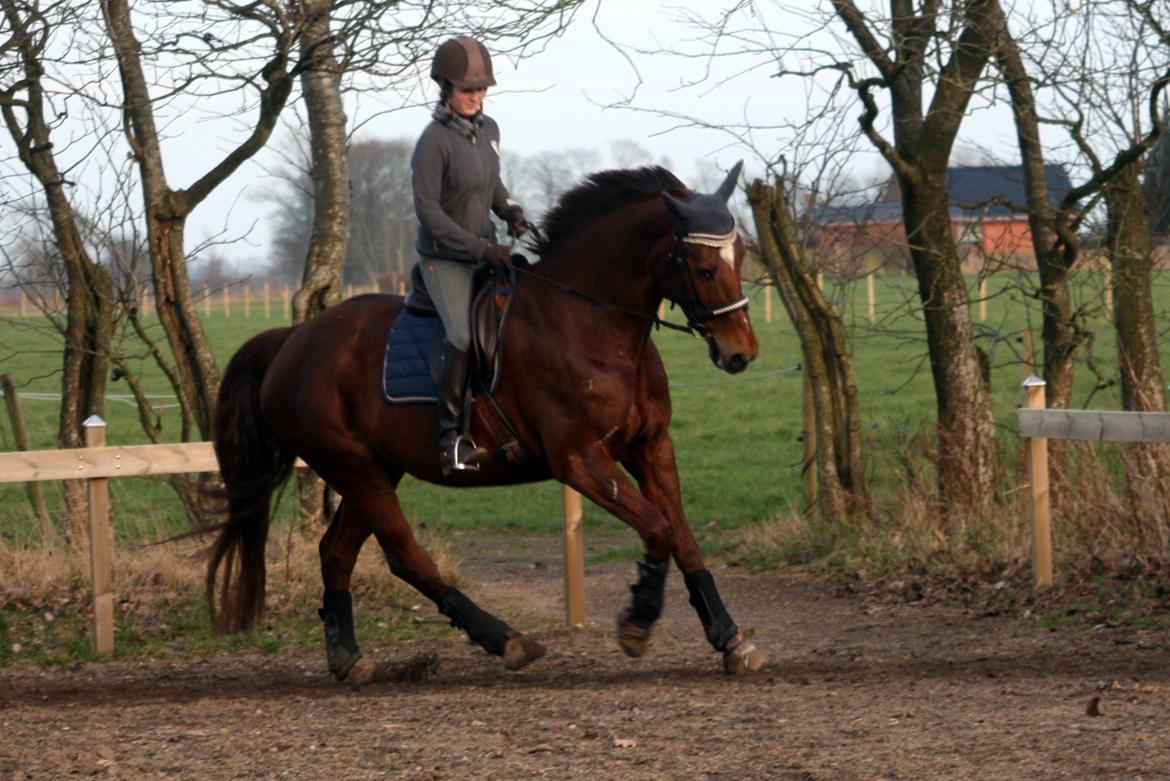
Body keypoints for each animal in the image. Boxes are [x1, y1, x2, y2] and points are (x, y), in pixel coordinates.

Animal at [205, 163, 762, 678]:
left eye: (741, 257)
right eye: (704, 267)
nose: (741, 353)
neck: (592, 322)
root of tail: (291, 342)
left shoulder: (651, 446)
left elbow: (682, 536)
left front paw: (729, 637)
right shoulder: (580, 459)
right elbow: (658, 528)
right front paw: (638, 623)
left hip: (376, 470)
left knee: (337, 552)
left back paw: (348, 658)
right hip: (355, 469)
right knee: (404, 555)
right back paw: (503, 638)